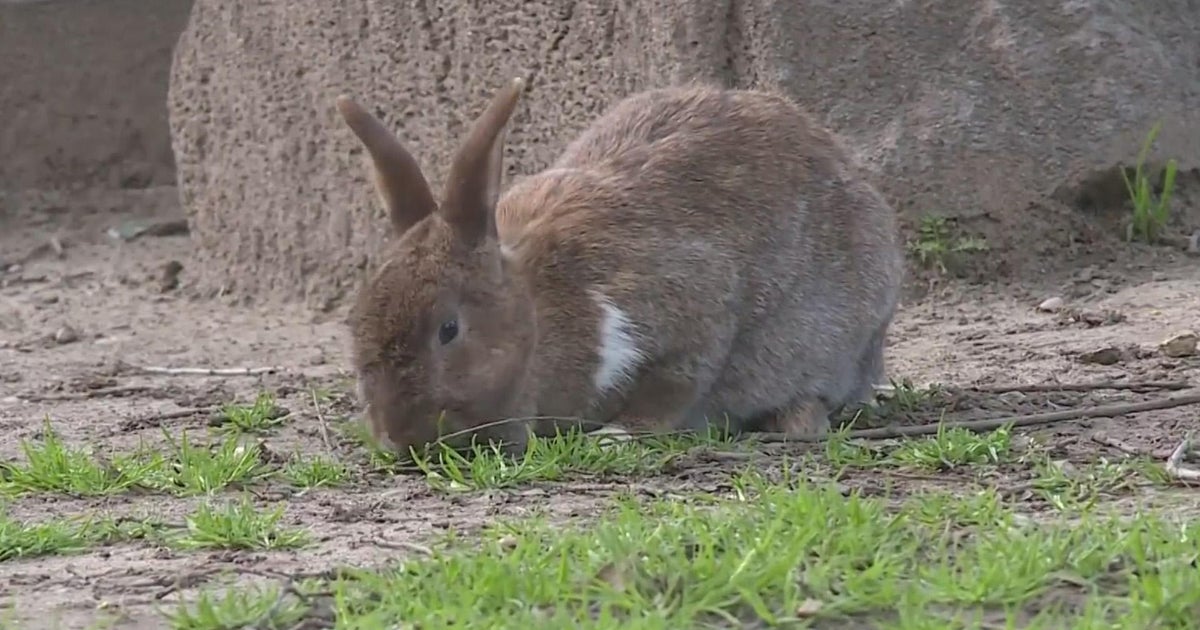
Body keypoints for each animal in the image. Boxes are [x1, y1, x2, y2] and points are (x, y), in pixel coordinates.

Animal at [334, 77, 903, 456]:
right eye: (356, 322)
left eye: (448, 330)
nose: (396, 436)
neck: (538, 312)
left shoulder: (689, 312)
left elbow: (675, 386)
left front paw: (614, 436)